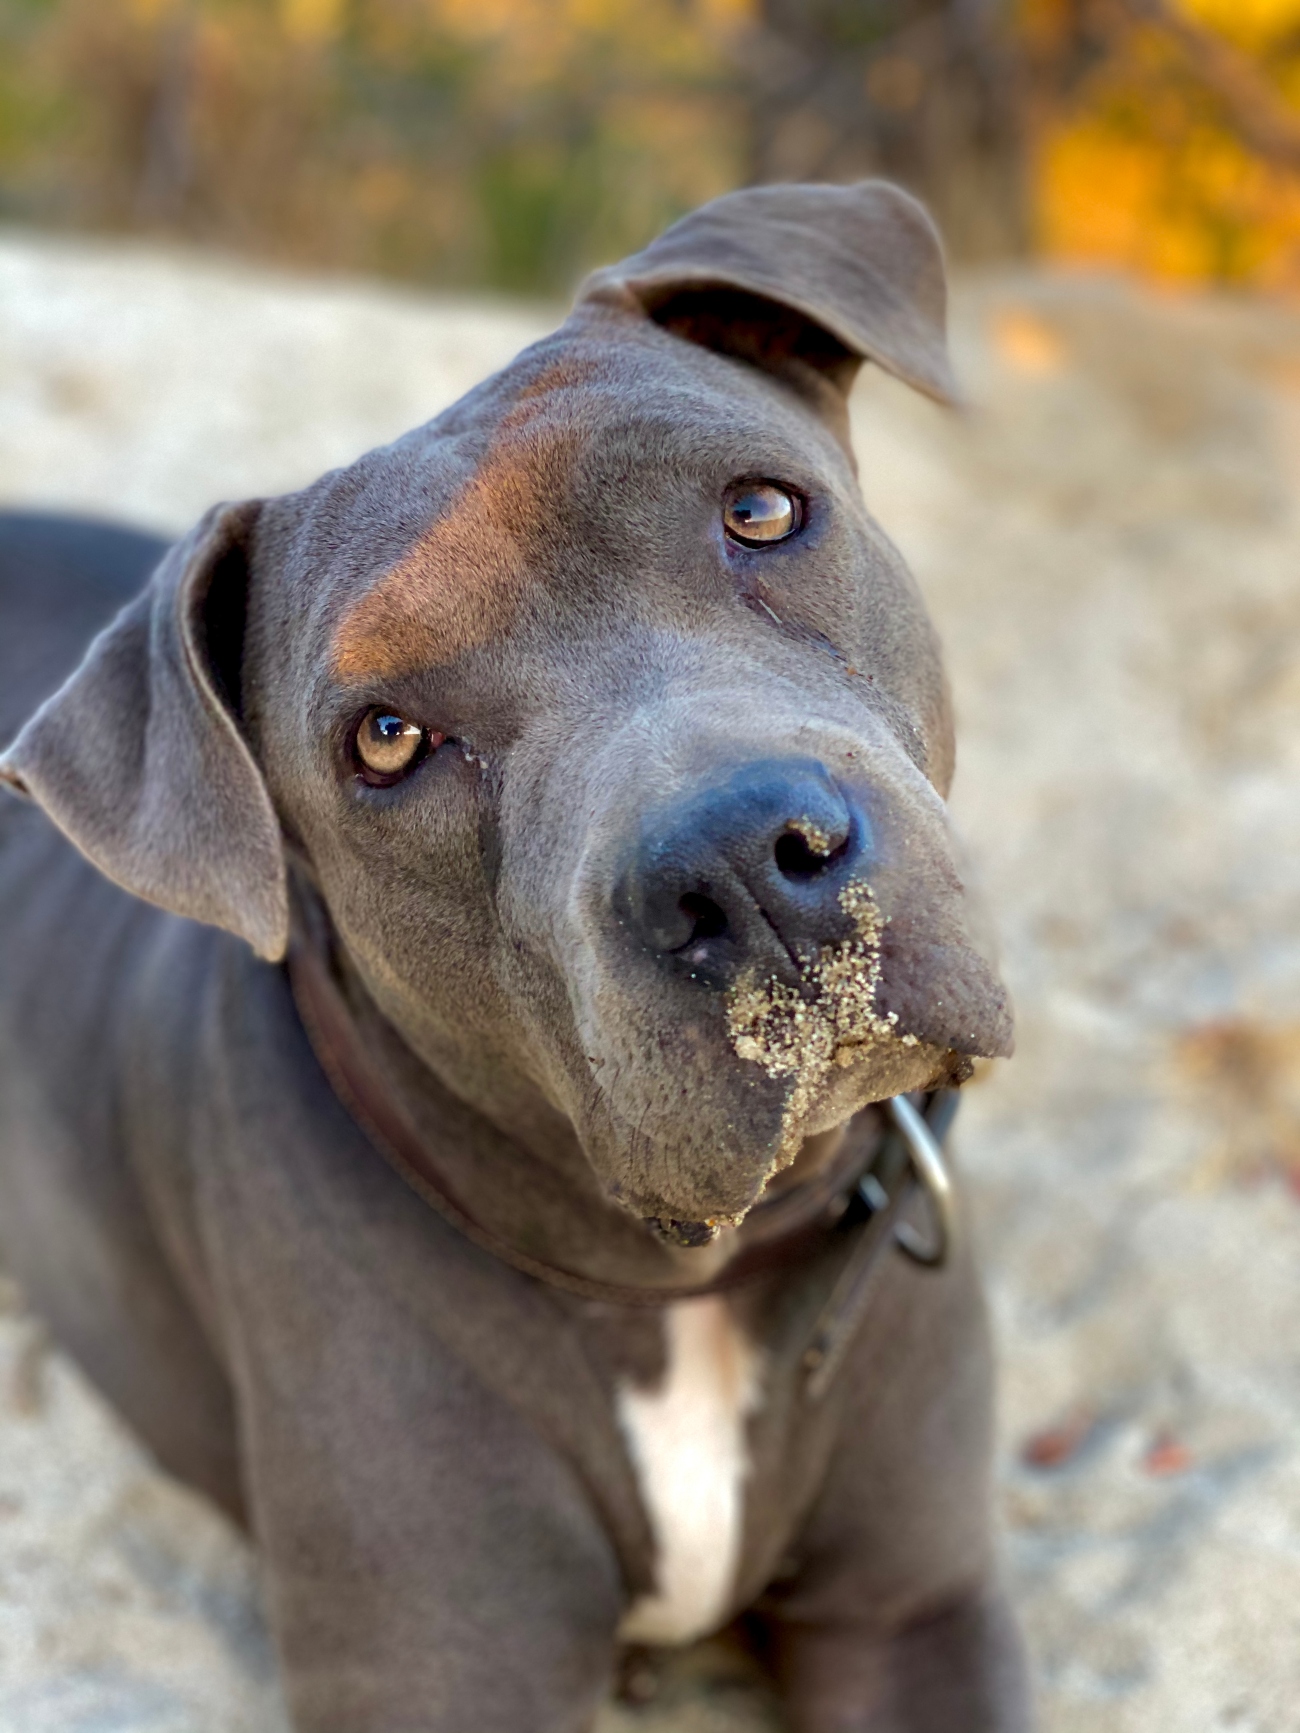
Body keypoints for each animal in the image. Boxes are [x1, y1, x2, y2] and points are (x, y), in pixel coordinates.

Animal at [2, 182, 1040, 1726]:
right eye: (384, 739)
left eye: (761, 510)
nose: (742, 861)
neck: (679, 1293)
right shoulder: (447, 1672)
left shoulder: (914, 1607)